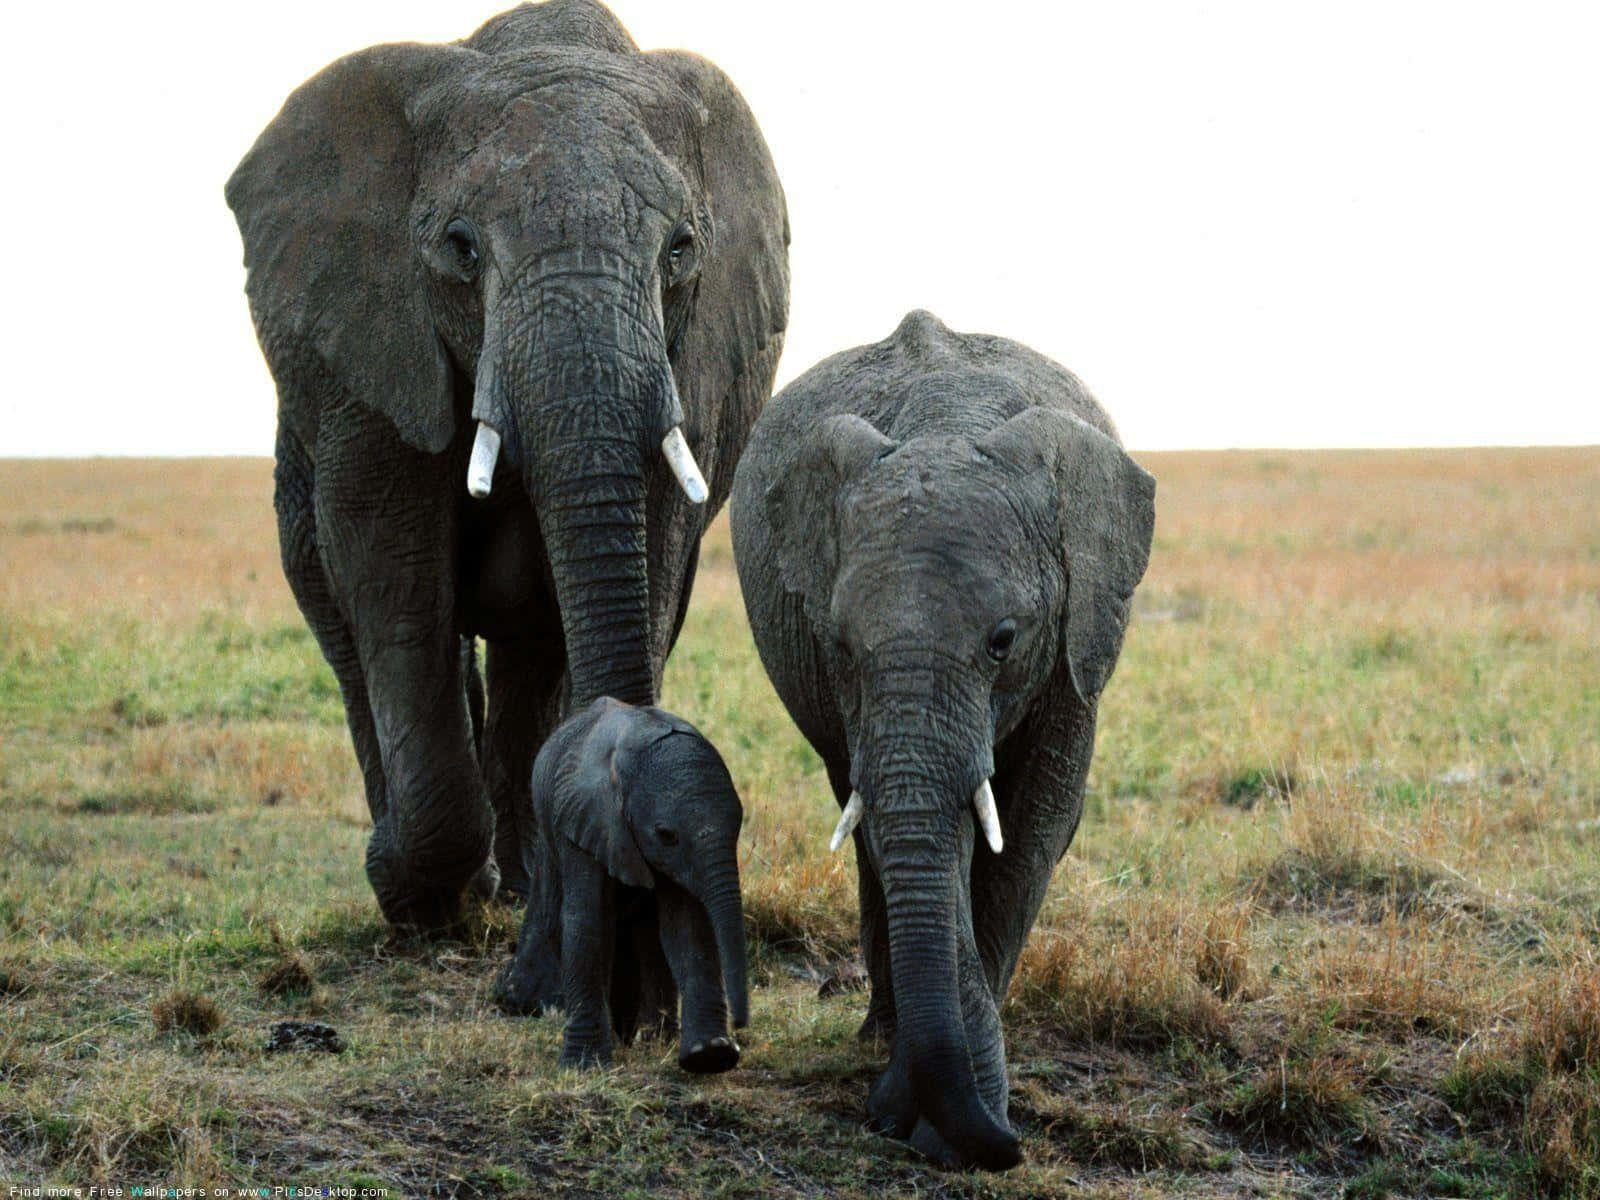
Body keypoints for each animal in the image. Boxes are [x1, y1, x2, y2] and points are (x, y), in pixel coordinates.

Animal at [225, 0, 788, 928]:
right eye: (461, 248)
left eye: (680, 250)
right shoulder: (371, 357)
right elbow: (392, 568)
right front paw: (412, 893)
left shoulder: (698, 364)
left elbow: (654, 548)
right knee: (344, 621)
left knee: (534, 644)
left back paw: (523, 881)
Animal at [496, 697, 747, 1072]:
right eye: (666, 835)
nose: (740, 1026)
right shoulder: (584, 821)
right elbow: (588, 922)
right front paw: (584, 1067)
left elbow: (685, 926)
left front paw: (710, 1055)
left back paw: (648, 1037)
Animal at [729, 311, 1156, 1169]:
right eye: (841, 644)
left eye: (1003, 640)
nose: (1011, 1147)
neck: (949, 425)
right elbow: (923, 833)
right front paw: (923, 1114)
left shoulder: (1076, 637)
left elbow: (1031, 831)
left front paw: (939, 1121)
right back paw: (880, 1034)